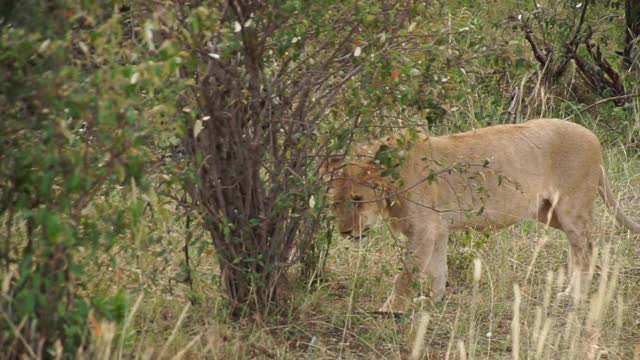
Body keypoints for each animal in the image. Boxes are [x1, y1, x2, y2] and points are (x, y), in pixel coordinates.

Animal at [324, 118, 640, 312]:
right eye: (335, 204)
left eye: (358, 200)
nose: (346, 233)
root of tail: (593, 136)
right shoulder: (437, 229)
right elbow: (437, 269)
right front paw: (434, 301)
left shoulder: (423, 229)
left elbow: (406, 274)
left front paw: (390, 310)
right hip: (549, 213)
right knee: (580, 247)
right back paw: (568, 291)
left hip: (572, 207)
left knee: (587, 247)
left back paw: (577, 296)